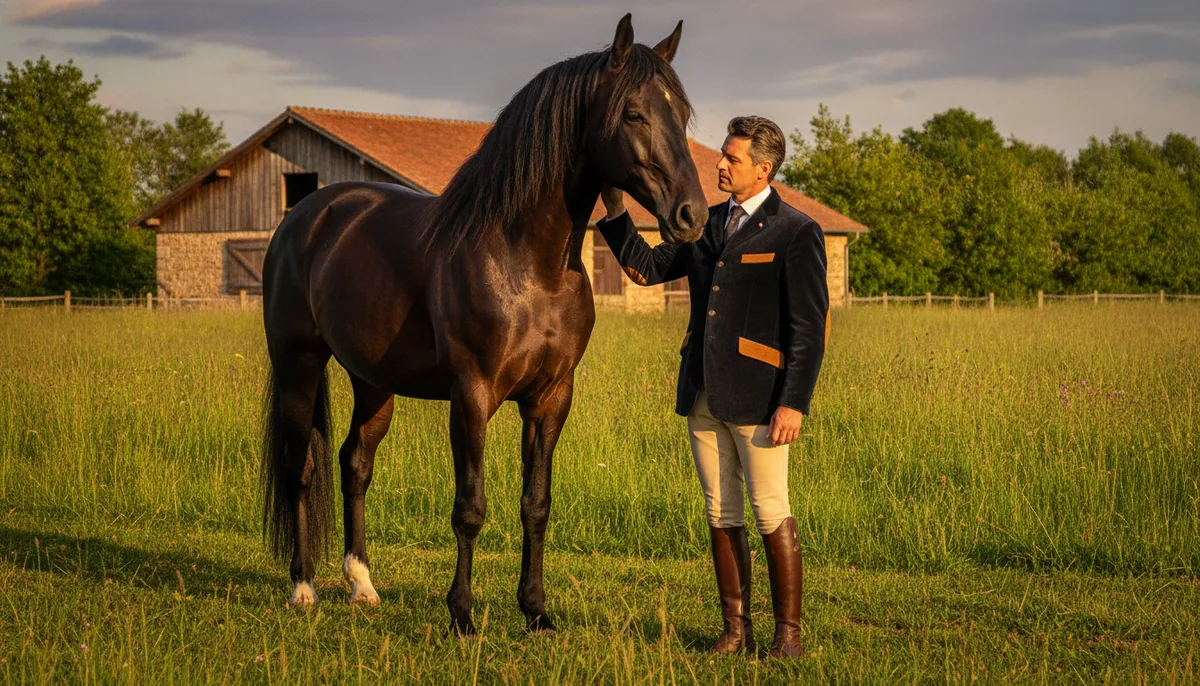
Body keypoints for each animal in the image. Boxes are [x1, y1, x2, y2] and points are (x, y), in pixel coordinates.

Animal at [260, 14, 708, 635]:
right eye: (635, 113)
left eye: (681, 115)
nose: (693, 215)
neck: (526, 260)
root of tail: (303, 215)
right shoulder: (471, 395)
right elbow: (470, 507)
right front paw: (463, 617)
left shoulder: (551, 397)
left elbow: (536, 504)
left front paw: (536, 611)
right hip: (299, 366)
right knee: (299, 467)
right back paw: (303, 588)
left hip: (372, 381)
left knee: (355, 463)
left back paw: (362, 585)